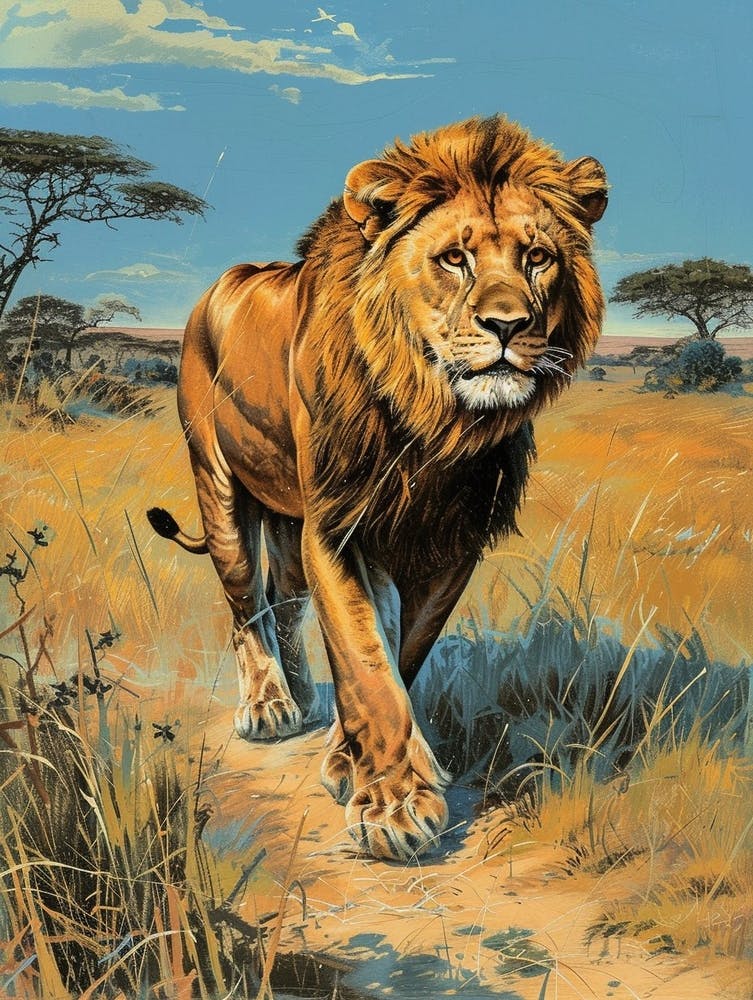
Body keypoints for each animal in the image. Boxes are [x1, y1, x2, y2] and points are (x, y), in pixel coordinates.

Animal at [147, 115, 607, 861]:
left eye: (537, 257)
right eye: (454, 259)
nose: (508, 326)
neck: (433, 420)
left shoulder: (447, 542)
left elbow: (400, 652)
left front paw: (348, 760)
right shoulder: (336, 528)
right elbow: (366, 661)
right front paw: (393, 808)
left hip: (288, 518)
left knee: (284, 602)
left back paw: (305, 700)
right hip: (218, 485)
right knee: (246, 603)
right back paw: (269, 707)